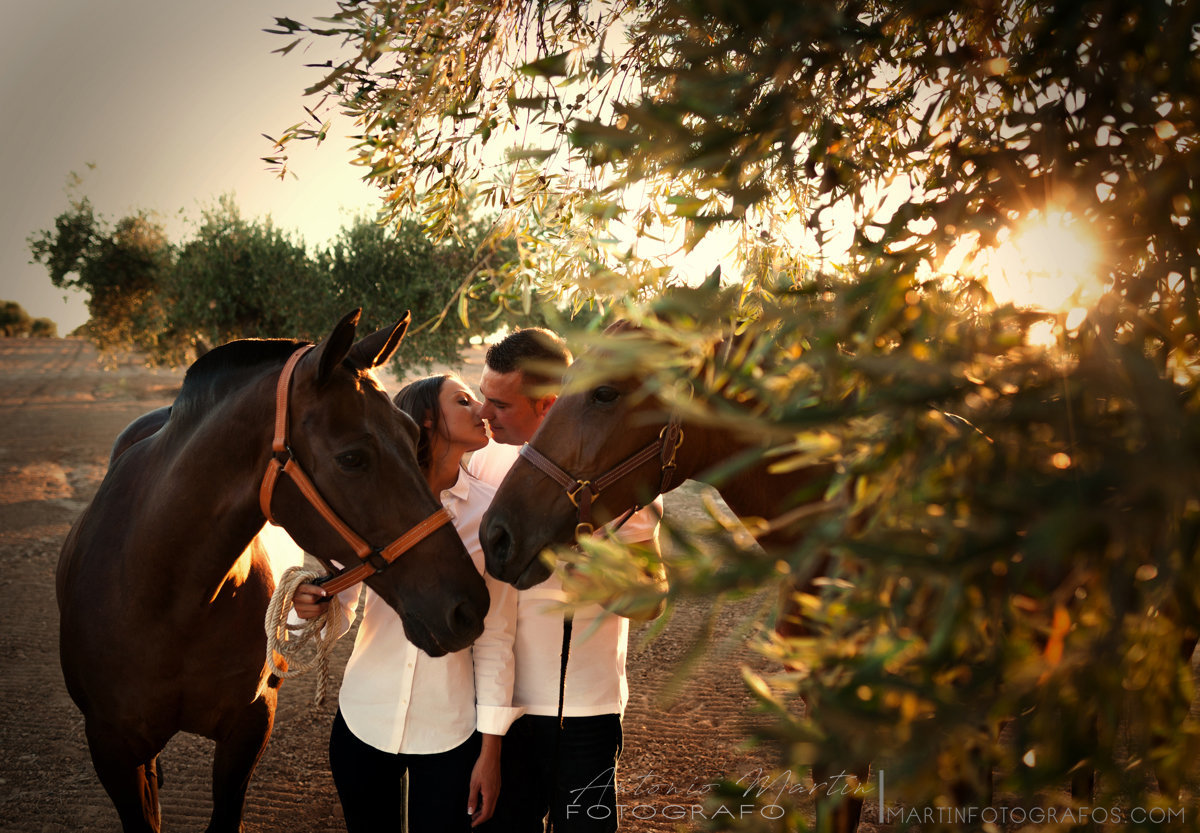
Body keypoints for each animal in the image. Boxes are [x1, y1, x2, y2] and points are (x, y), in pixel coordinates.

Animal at [58, 312, 489, 833]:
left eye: (414, 437)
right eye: (351, 458)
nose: (469, 606)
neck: (168, 599)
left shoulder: (250, 726)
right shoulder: (112, 747)